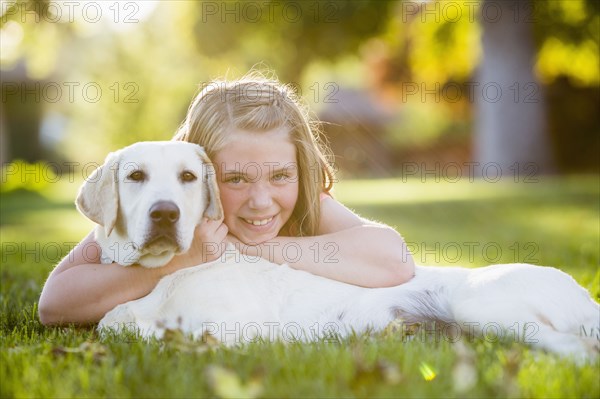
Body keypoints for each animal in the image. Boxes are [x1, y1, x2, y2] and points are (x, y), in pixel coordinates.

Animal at [76, 141, 600, 362]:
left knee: (576, 347)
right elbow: (113, 323)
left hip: (485, 305)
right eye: (136, 176)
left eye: (187, 176)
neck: (164, 273)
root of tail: (585, 293)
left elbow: (176, 333)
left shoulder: (238, 328)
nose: (165, 214)